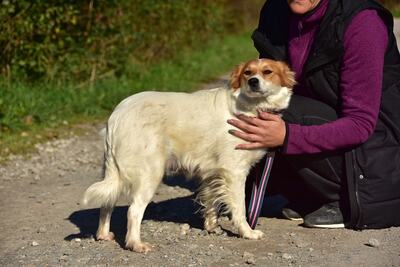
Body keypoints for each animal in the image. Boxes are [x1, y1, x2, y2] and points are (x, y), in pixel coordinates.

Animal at [83, 58, 296, 253]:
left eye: (267, 71)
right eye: (247, 72)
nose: (253, 81)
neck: (249, 105)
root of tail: (117, 115)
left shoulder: (212, 172)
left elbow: (211, 202)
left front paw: (212, 227)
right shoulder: (234, 172)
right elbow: (239, 209)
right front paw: (247, 232)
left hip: (113, 174)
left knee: (106, 204)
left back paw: (103, 235)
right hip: (150, 174)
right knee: (133, 210)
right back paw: (136, 244)